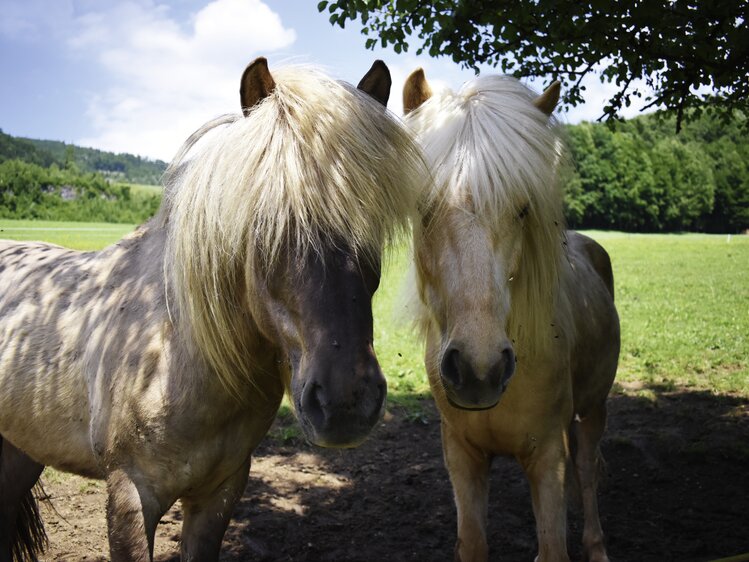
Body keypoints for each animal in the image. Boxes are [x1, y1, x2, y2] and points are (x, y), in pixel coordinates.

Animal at [0, 58, 424, 560]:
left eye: (370, 226)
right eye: (264, 225)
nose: (345, 403)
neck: (177, 353)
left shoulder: (220, 493)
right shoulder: (129, 496)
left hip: (20, 452)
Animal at [404, 71, 620, 560]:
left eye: (523, 209)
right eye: (422, 208)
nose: (478, 369)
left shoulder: (547, 457)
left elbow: (554, 544)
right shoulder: (462, 457)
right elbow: (473, 542)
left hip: (594, 409)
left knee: (590, 470)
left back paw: (598, 546)